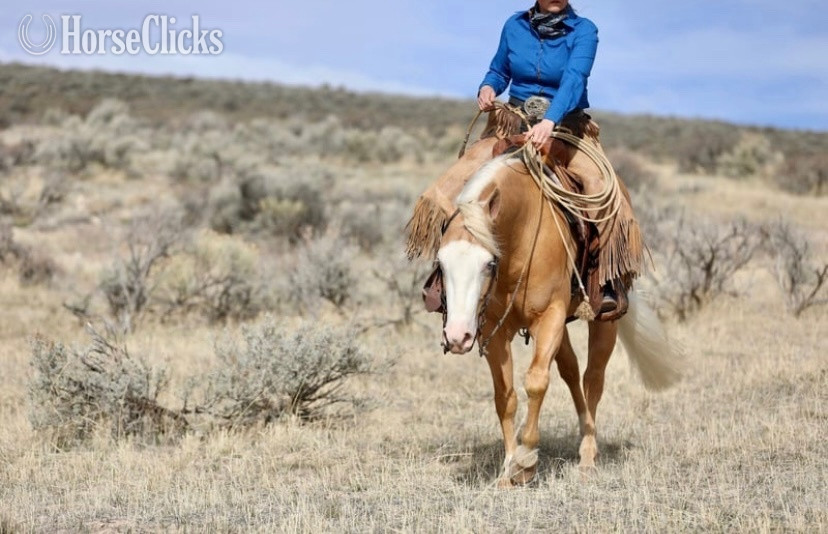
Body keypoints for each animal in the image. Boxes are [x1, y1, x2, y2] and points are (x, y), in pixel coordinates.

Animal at [436, 150, 682, 487]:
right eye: (440, 263)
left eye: (488, 263)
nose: (458, 337)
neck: (523, 234)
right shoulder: (494, 330)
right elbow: (505, 397)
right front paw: (508, 469)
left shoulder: (549, 317)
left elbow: (536, 382)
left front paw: (526, 461)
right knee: (571, 370)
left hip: (604, 321)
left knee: (593, 379)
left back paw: (588, 456)